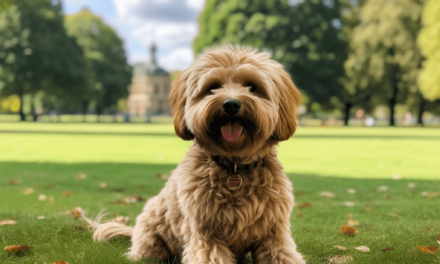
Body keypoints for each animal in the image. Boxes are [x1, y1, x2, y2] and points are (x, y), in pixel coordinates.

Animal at [84, 46, 308, 262]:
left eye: (252, 87)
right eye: (213, 87)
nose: (231, 104)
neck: (235, 167)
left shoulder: (274, 234)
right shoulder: (205, 234)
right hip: (151, 230)